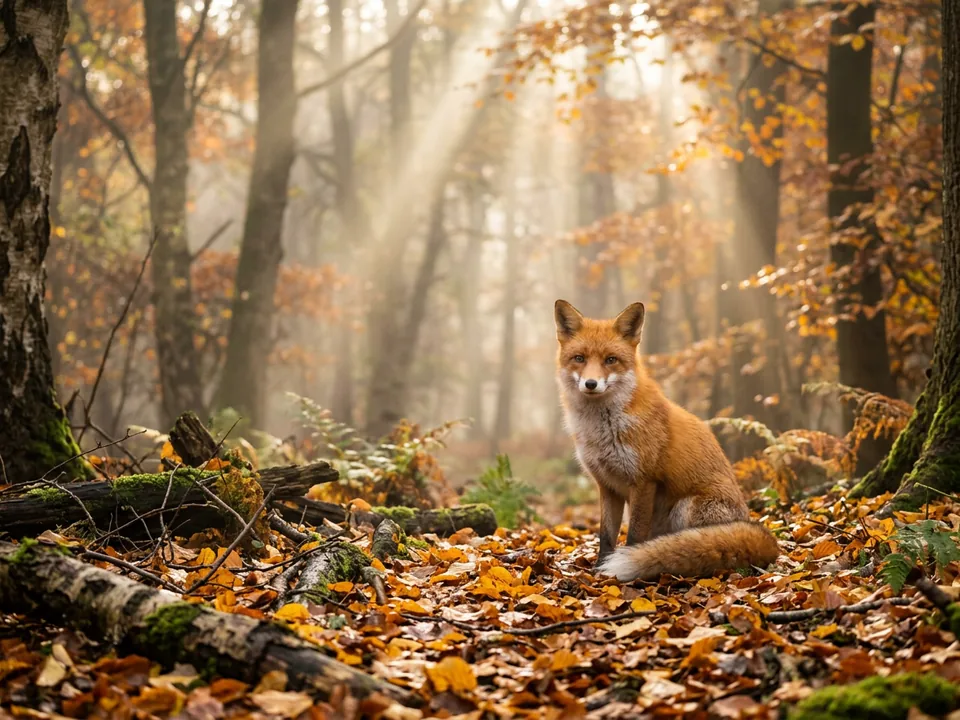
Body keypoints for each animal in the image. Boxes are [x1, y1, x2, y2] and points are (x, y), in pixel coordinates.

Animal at [554, 299, 780, 581]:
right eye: (579, 359)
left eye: (611, 360)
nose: (591, 383)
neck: (603, 429)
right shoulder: (607, 485)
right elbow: (606, 537)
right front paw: (599, 571)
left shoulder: (644, 481)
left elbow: (634, 536)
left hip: (686, 507)